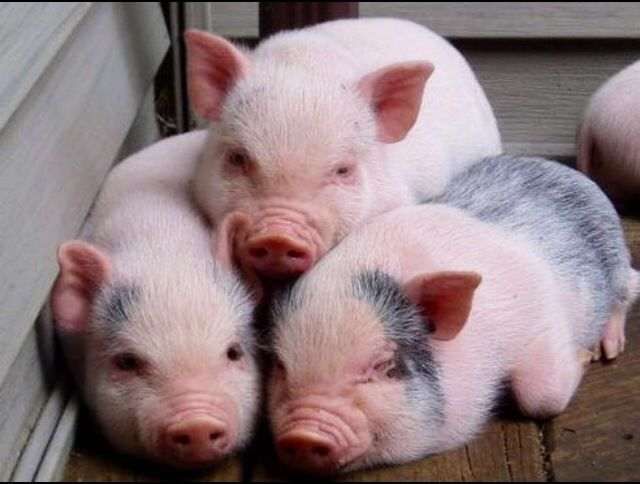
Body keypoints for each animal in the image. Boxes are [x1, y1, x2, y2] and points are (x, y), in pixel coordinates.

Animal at [267, 155, 638, 475]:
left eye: (385, 366)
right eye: (281, 366)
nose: (303, 435)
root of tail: (565, 171)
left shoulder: (541, 321)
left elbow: (542, 397)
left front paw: (583, 357)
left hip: (616, 260)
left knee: (629, 289)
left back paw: (608, 349)